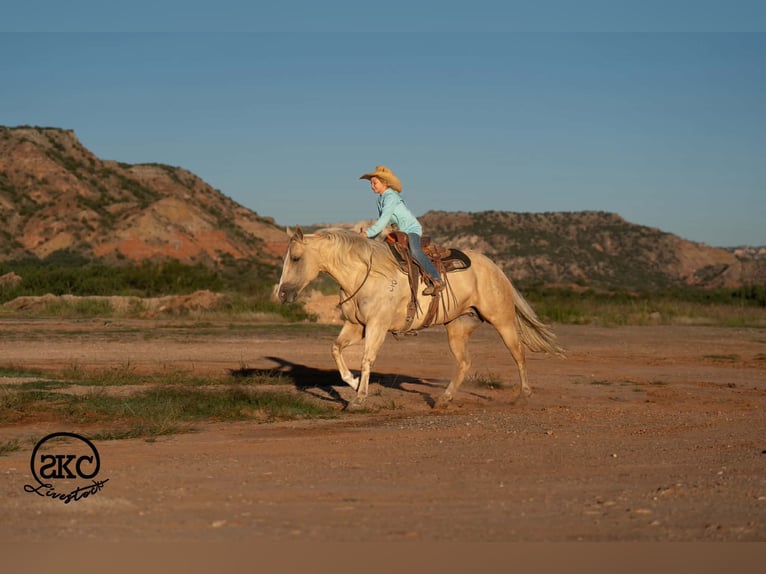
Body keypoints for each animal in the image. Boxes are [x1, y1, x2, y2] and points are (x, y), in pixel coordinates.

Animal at [276, 227, 565, 409]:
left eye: (296, 258)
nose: (282, 293)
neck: (365, 274)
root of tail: (496, 269)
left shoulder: (377, 326)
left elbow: (367, 359)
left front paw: (358, 399)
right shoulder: (356, 326)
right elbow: (336, 349)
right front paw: (354, 383)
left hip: (502, 321)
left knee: (518, 354)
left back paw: (524, 396)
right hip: (457, 328)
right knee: (464, 363)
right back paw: (444, 400)